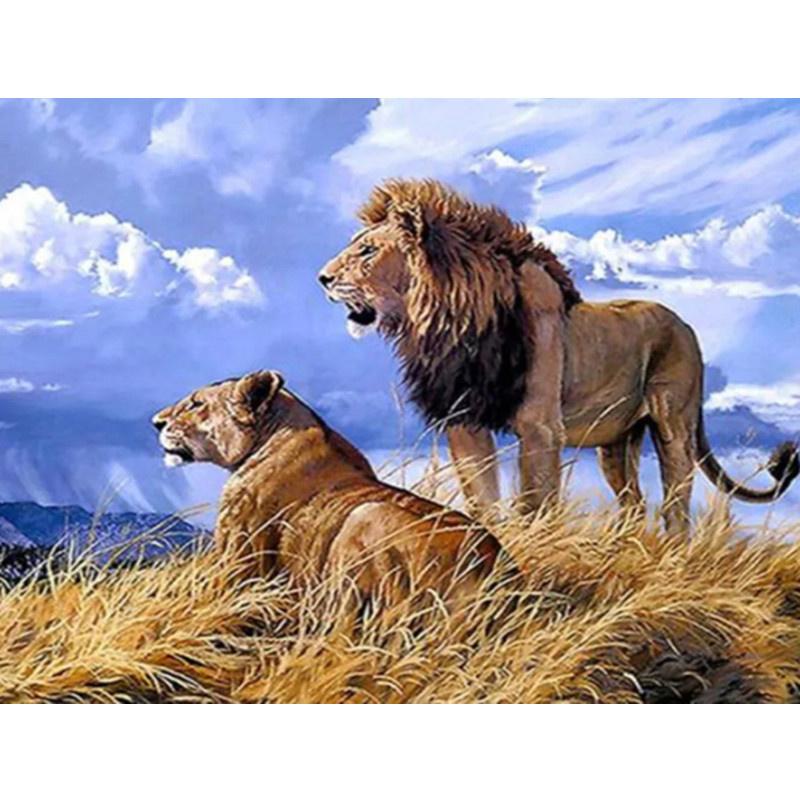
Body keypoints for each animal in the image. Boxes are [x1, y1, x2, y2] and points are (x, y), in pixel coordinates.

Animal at [317, 179, 799, 534]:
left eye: (367, 250)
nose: (322, 278)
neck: (452, 321)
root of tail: (686, 325)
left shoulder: (540, 427)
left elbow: (535, 503)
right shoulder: (465, 421)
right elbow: (483, 497)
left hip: (673, 423)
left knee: (676, 501)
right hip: (617, 441)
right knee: (633, 504)